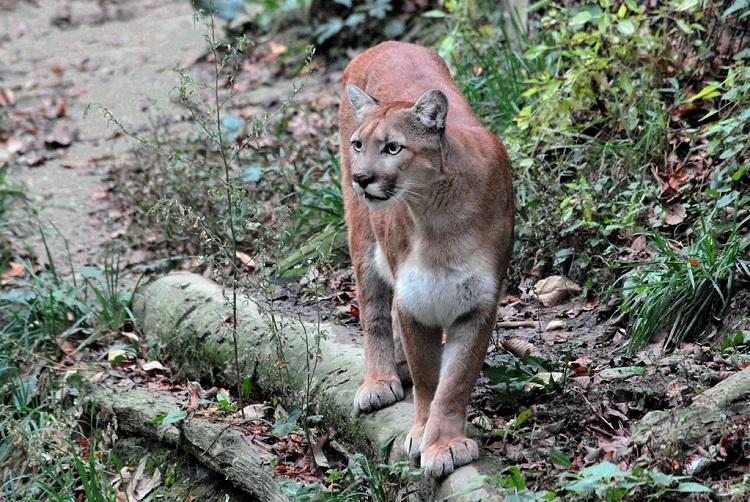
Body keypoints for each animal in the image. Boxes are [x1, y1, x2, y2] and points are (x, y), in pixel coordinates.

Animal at [340, 41, 516, 476]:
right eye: (359, 144)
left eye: (393, 147)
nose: (361, 178)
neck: (437, 217)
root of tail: (386, 43)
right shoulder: (413, 302)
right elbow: (428, 378)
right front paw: (424, 434)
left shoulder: (478, 305)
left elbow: (455, 381)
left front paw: (445, 443)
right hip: (362, 239)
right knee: (373, 310)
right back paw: (379, 381)